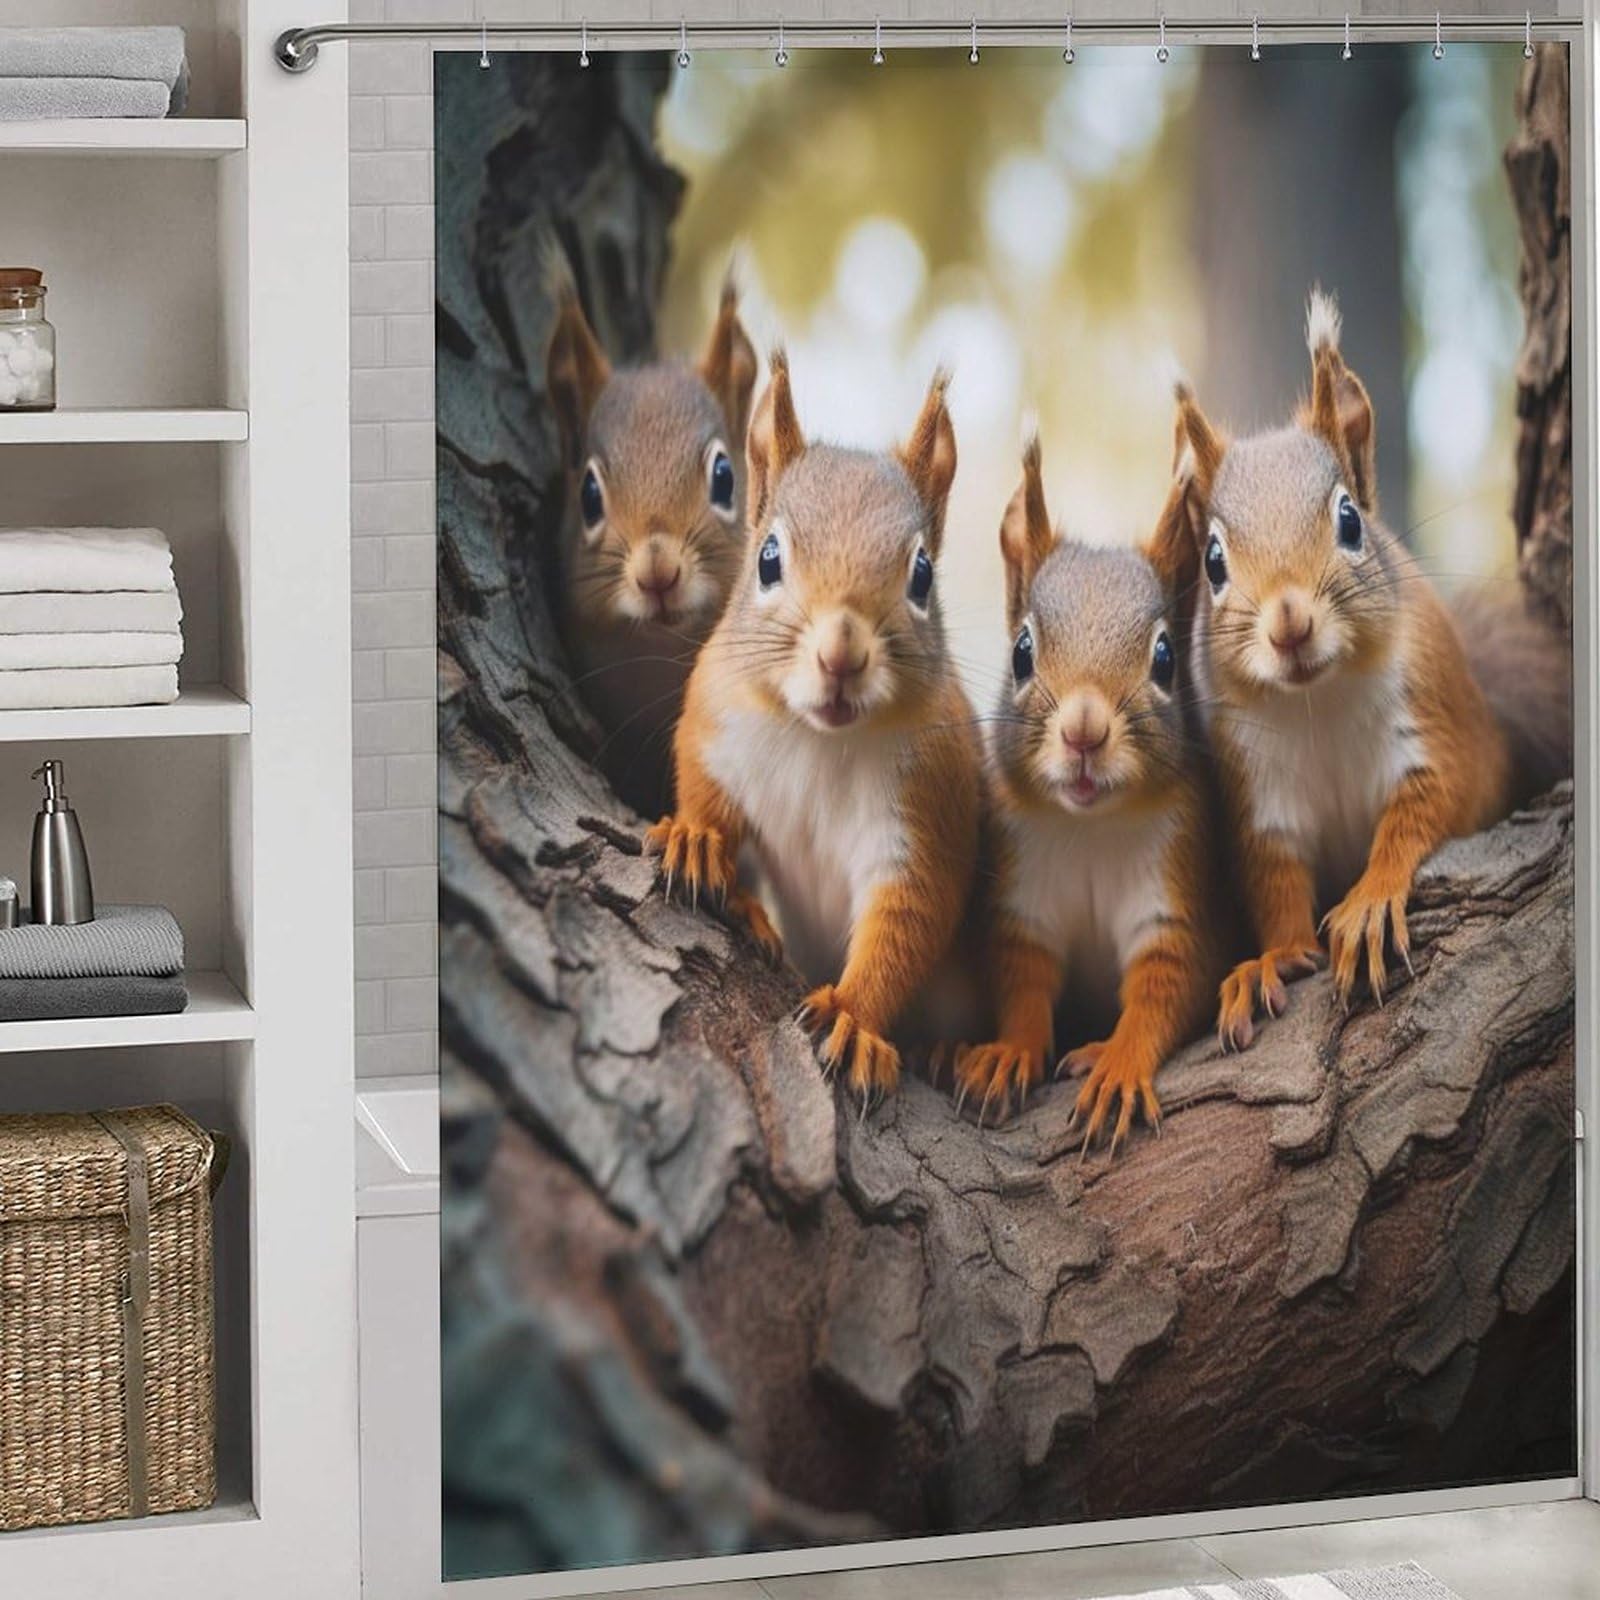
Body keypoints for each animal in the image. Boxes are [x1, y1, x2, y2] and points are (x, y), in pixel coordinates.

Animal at [646, 351, 983, 1101]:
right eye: (767, 558)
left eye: (922, 574)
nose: (841, 656)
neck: (819, 739)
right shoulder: (717, 722)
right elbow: (703, 789)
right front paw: (698, 841)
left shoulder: (924, 813)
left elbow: (906, 922)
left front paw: (853, 1019)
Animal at [954, 435, 1226, 1150]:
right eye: (1021, 651)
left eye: (1165, 658)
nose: (1083, 731)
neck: (1091, 827)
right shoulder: (1025, 895)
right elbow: (1023, 979)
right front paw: (1008, 1054)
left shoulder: (1175, 889)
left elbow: (1167, 984)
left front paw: (1117, 1064)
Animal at [1174, 288, 1571, 1047]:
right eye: (1211, 560)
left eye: (1351, 520)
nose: (1290, 624)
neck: (1316, 700)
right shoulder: (1261, 791)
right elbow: (1276, 882)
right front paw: (1267, 960)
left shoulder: (1437, 721)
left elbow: (1425, 807)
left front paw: (1372, 899)